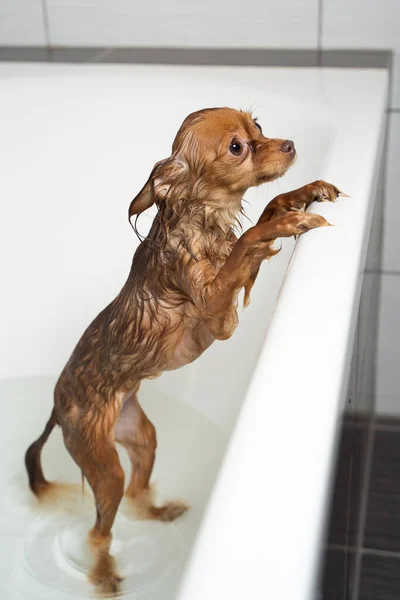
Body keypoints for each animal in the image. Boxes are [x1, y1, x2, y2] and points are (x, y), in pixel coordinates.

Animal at [25, 106, 346, 592]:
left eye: (259, 126)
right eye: (237, 147)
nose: (289, 145)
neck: (201, 221)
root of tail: (57, 405)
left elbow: (266, 207)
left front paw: (305, 193)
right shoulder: (216, 313)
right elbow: (250, 238)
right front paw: (285, 224)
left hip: (141, 437)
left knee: (138, 491)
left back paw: (160, 512)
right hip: (102, 464)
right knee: (100, 531)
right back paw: (106, 576)